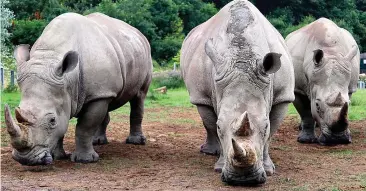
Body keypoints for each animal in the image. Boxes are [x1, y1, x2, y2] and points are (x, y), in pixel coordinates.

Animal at [3, 12, 152, 166]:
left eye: (52, 120)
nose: (25, 159)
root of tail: (138, 33)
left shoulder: (95, 95)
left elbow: (85, 127)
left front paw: (84, 160)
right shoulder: (83, 92)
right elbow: (63, 127)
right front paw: (58, 156)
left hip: (143, 56)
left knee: (139, 96)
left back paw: (135, 142)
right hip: (111, 75)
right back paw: (98, 142)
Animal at [180, 0, 294, 185]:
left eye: (265, 125)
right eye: (220, 125)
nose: (244, 179)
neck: (243, 55)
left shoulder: (283, 96)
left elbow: (271, 133)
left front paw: (269, 169)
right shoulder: (202, 93)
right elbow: (212, 125)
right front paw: (219, 167)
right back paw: (208, 152)